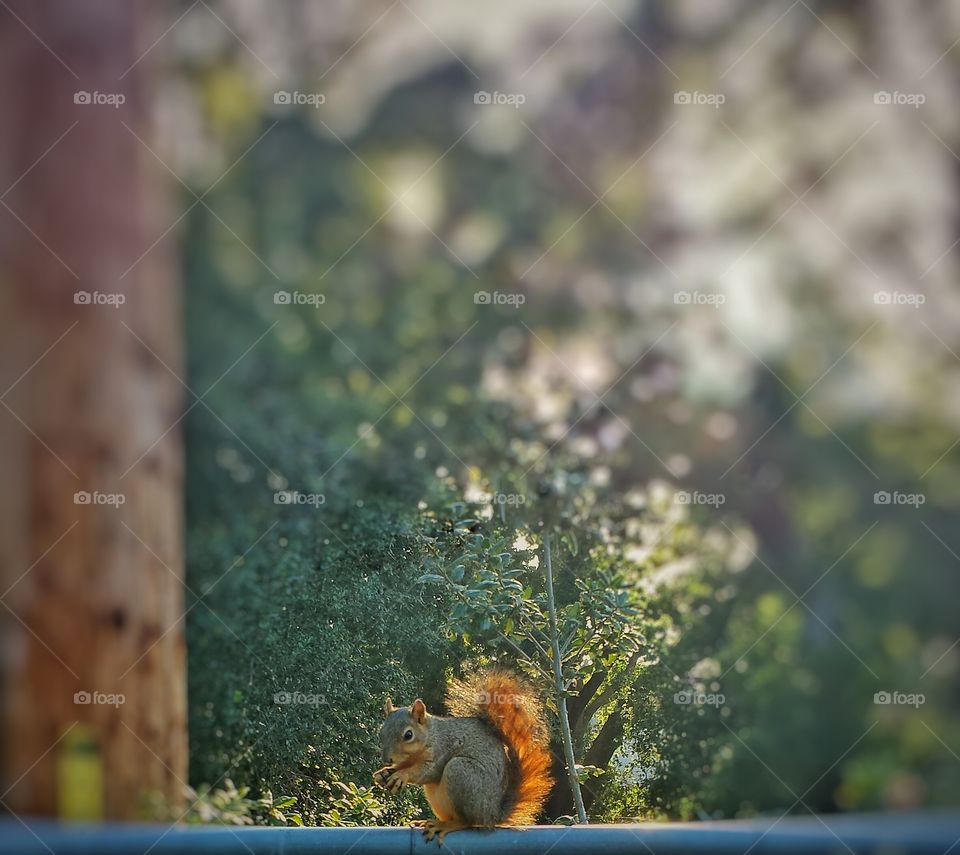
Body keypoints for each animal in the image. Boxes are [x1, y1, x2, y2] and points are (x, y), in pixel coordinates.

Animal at [373, 668, 554, 844]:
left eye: (408, 735)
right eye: (380, 732)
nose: (387, 759)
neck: (430, 736)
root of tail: (493, 816)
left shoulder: (443, 748)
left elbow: (428, 772)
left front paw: (402, 774)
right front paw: (384, 773)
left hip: (462, 773)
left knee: (467, 822)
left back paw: (446, 825)